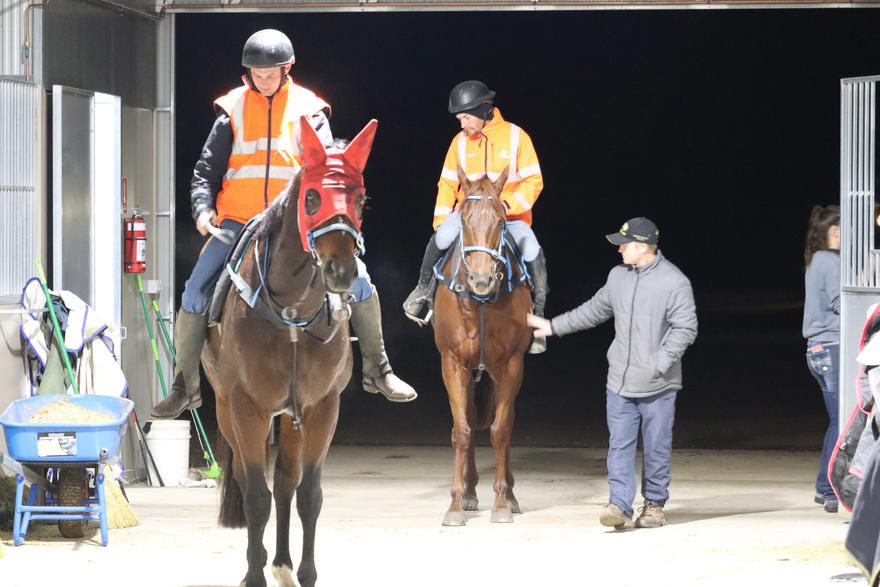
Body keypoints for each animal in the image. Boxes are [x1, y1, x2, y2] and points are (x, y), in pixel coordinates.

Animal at [201, 116, 377, 587]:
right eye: (313, 198)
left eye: (361, 199)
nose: (341, 271)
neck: (292, 311)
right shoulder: (247, 408)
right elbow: (255, 497)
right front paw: (254, 574)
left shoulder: (321, 407)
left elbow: (308, 494)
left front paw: (305, 572)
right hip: (227, 409)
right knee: (250, 483)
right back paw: (261, 562)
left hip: (291, 417)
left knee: (284, 482)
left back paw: (281, 563)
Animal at [432, 165, 534, 526]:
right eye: (463, 220)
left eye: (501, 221)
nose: (480, 280)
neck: (480, 303)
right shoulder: (453, 364)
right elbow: (461, 430)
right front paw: (455, 504)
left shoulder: (512, 364)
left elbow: (501, 430)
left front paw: (503, 501)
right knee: (472, 420)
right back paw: (471, 492)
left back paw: (511, 495)